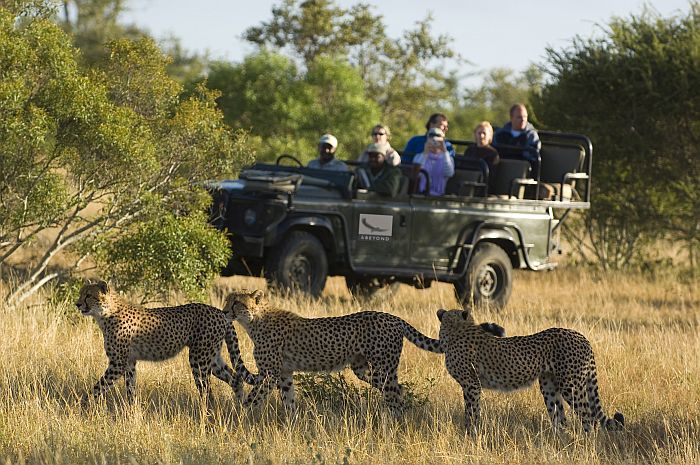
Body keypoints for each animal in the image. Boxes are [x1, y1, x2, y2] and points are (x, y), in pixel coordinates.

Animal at [75, 280, 256, 404]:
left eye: (88, 295)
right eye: (81, 293)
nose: (77, 304)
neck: (106, 313)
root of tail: (220, 312)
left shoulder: (117, 364)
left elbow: (98, 387)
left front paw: (83, 405)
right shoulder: (129, 362)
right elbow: (130, 389)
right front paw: (131, 411)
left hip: (199, 359)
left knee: (207, 391)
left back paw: (207, 414)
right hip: (212, 358)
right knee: (236, 378)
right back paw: (239, 408)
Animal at [223, 288, 442, 412]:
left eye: (237, 303)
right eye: (227, 300)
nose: (224, 311)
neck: (254, 321)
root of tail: (394, 317)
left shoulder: (270, 374)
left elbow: (253, 399)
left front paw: (241, 419)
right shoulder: (284, 373)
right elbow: (289, 400)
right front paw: (292, 426)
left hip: (383, 369)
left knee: (394, 396)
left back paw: (393, 426)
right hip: (364, 369)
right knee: (399, 390)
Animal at [438, 308, 624, 432]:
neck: (456, 330)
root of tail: (581, 336)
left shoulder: (472, 385)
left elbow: (472, 411)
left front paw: (471, 431)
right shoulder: (471, 385)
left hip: (571, 387)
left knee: (588, 416)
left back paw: (586, 442)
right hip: (549, 386)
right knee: (560, 418)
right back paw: (558, 441)